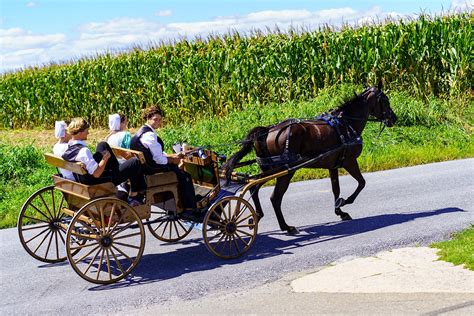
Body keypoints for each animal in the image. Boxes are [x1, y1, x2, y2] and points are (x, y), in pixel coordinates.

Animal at [222, 81, 396, 235]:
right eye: (385, 100)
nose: (393, 118)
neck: (346, 124)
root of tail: (267, 131)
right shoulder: (350, 161)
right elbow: (361, 183)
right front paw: (345, 201)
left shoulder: (333, 165)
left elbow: (336, 189)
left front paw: (340, 211)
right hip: (284, 172)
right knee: (274, 198)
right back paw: (286, 227)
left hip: (269, 169)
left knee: (253, 186)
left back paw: (257, 216)